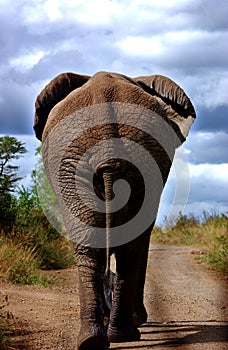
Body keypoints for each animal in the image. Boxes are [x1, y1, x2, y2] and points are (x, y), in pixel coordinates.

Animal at [33, 69, 196, 348]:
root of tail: (109, 152)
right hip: (87, 162)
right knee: (118, 245)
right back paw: (109, 336)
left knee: (110, 245)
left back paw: (113, 335)